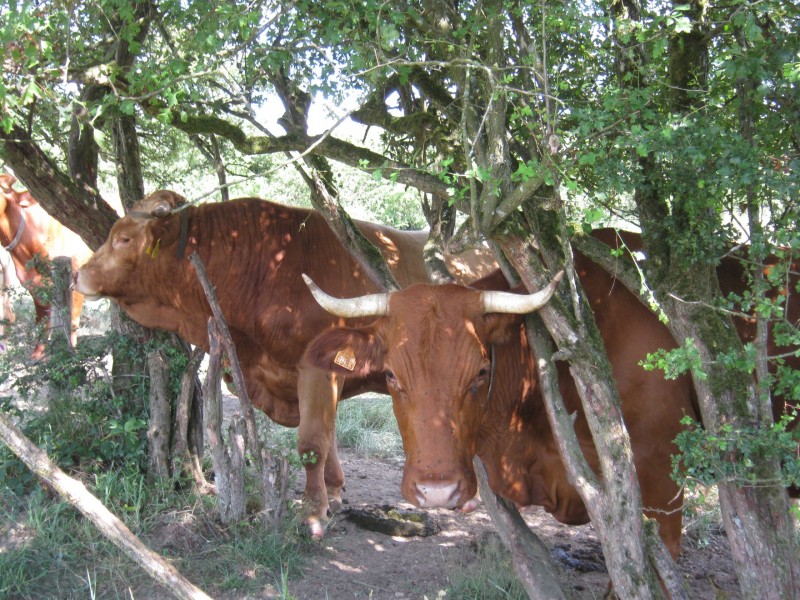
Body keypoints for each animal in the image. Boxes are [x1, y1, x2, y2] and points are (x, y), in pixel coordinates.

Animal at [76, 189, 500, 536]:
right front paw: (333, 493)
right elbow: (328, 437)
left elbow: (312, 442)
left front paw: (312, 513)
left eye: (124, 238)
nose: (79, 274)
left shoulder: (317, 367)